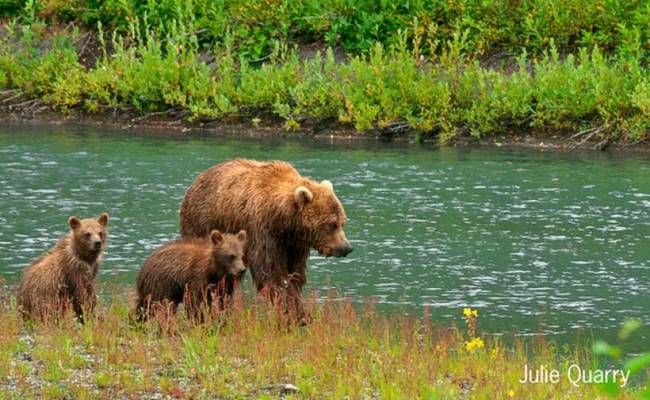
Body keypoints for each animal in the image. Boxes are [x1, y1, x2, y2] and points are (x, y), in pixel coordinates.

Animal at [180, 159, 352, 322]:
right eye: (331, 224)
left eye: (342, 221)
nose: (346, 248)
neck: (284, 220)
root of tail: (195, 181)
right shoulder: (262, 230)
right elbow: (270, 272)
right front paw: (297, 313)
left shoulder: (294, 243)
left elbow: (295, 272)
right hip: (203, 224)